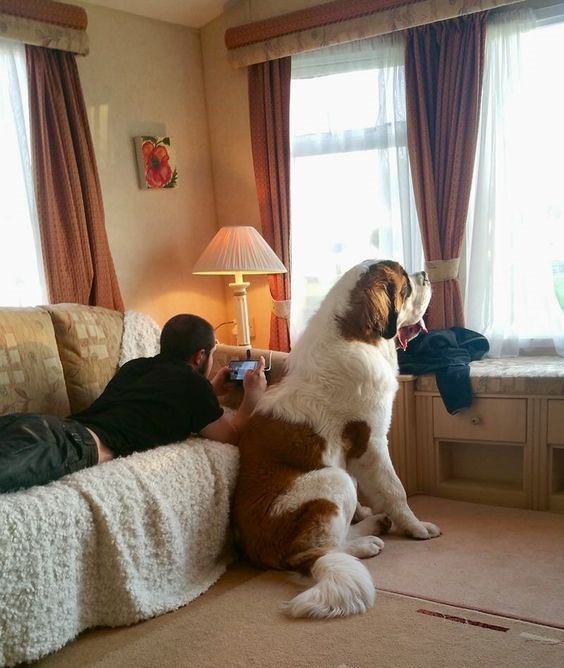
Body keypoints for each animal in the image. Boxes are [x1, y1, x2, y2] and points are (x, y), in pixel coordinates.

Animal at [231, 260, 438, 620]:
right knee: (327, 548)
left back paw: (372, 523)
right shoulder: (372, 444)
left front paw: (370, 514)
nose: (425, 274)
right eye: (406, 285)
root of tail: (262, 552)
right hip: (332, 479)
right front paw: (416, 527)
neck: (358, 337)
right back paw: (365, 542)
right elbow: (395, 489)